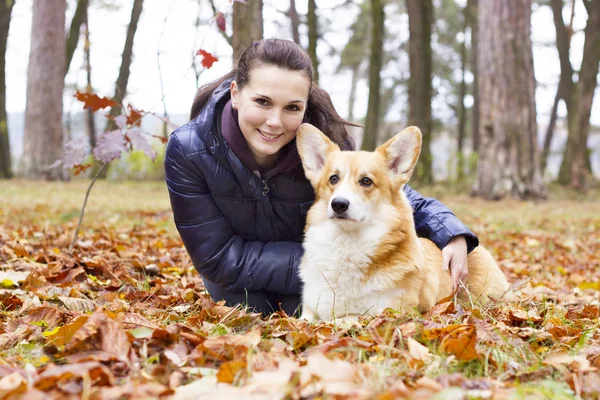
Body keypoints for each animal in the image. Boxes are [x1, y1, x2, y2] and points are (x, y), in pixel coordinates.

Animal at [294, 122, 506, 322]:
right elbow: (304, 320)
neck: (348, 245)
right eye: (333, 179)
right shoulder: (309, 308)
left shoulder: (389, 311)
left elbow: (344, 319)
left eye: (366, 181)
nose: (338, 204)